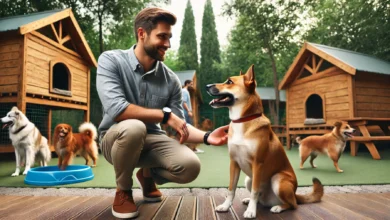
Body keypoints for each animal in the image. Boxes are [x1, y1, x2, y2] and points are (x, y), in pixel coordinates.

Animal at [206, 64, 322, 217]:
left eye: (229, 82)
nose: (206, 86)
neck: (243, 120)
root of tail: (295, 194)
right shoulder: (234, 163)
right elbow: (231, 189)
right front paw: (226, 206)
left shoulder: (258, 163)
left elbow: (255, 191)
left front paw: (251, 211)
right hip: (248, 179)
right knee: (261, 199)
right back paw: (250, 201)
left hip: (278, 179)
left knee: (293, 204)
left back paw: (278, 207)